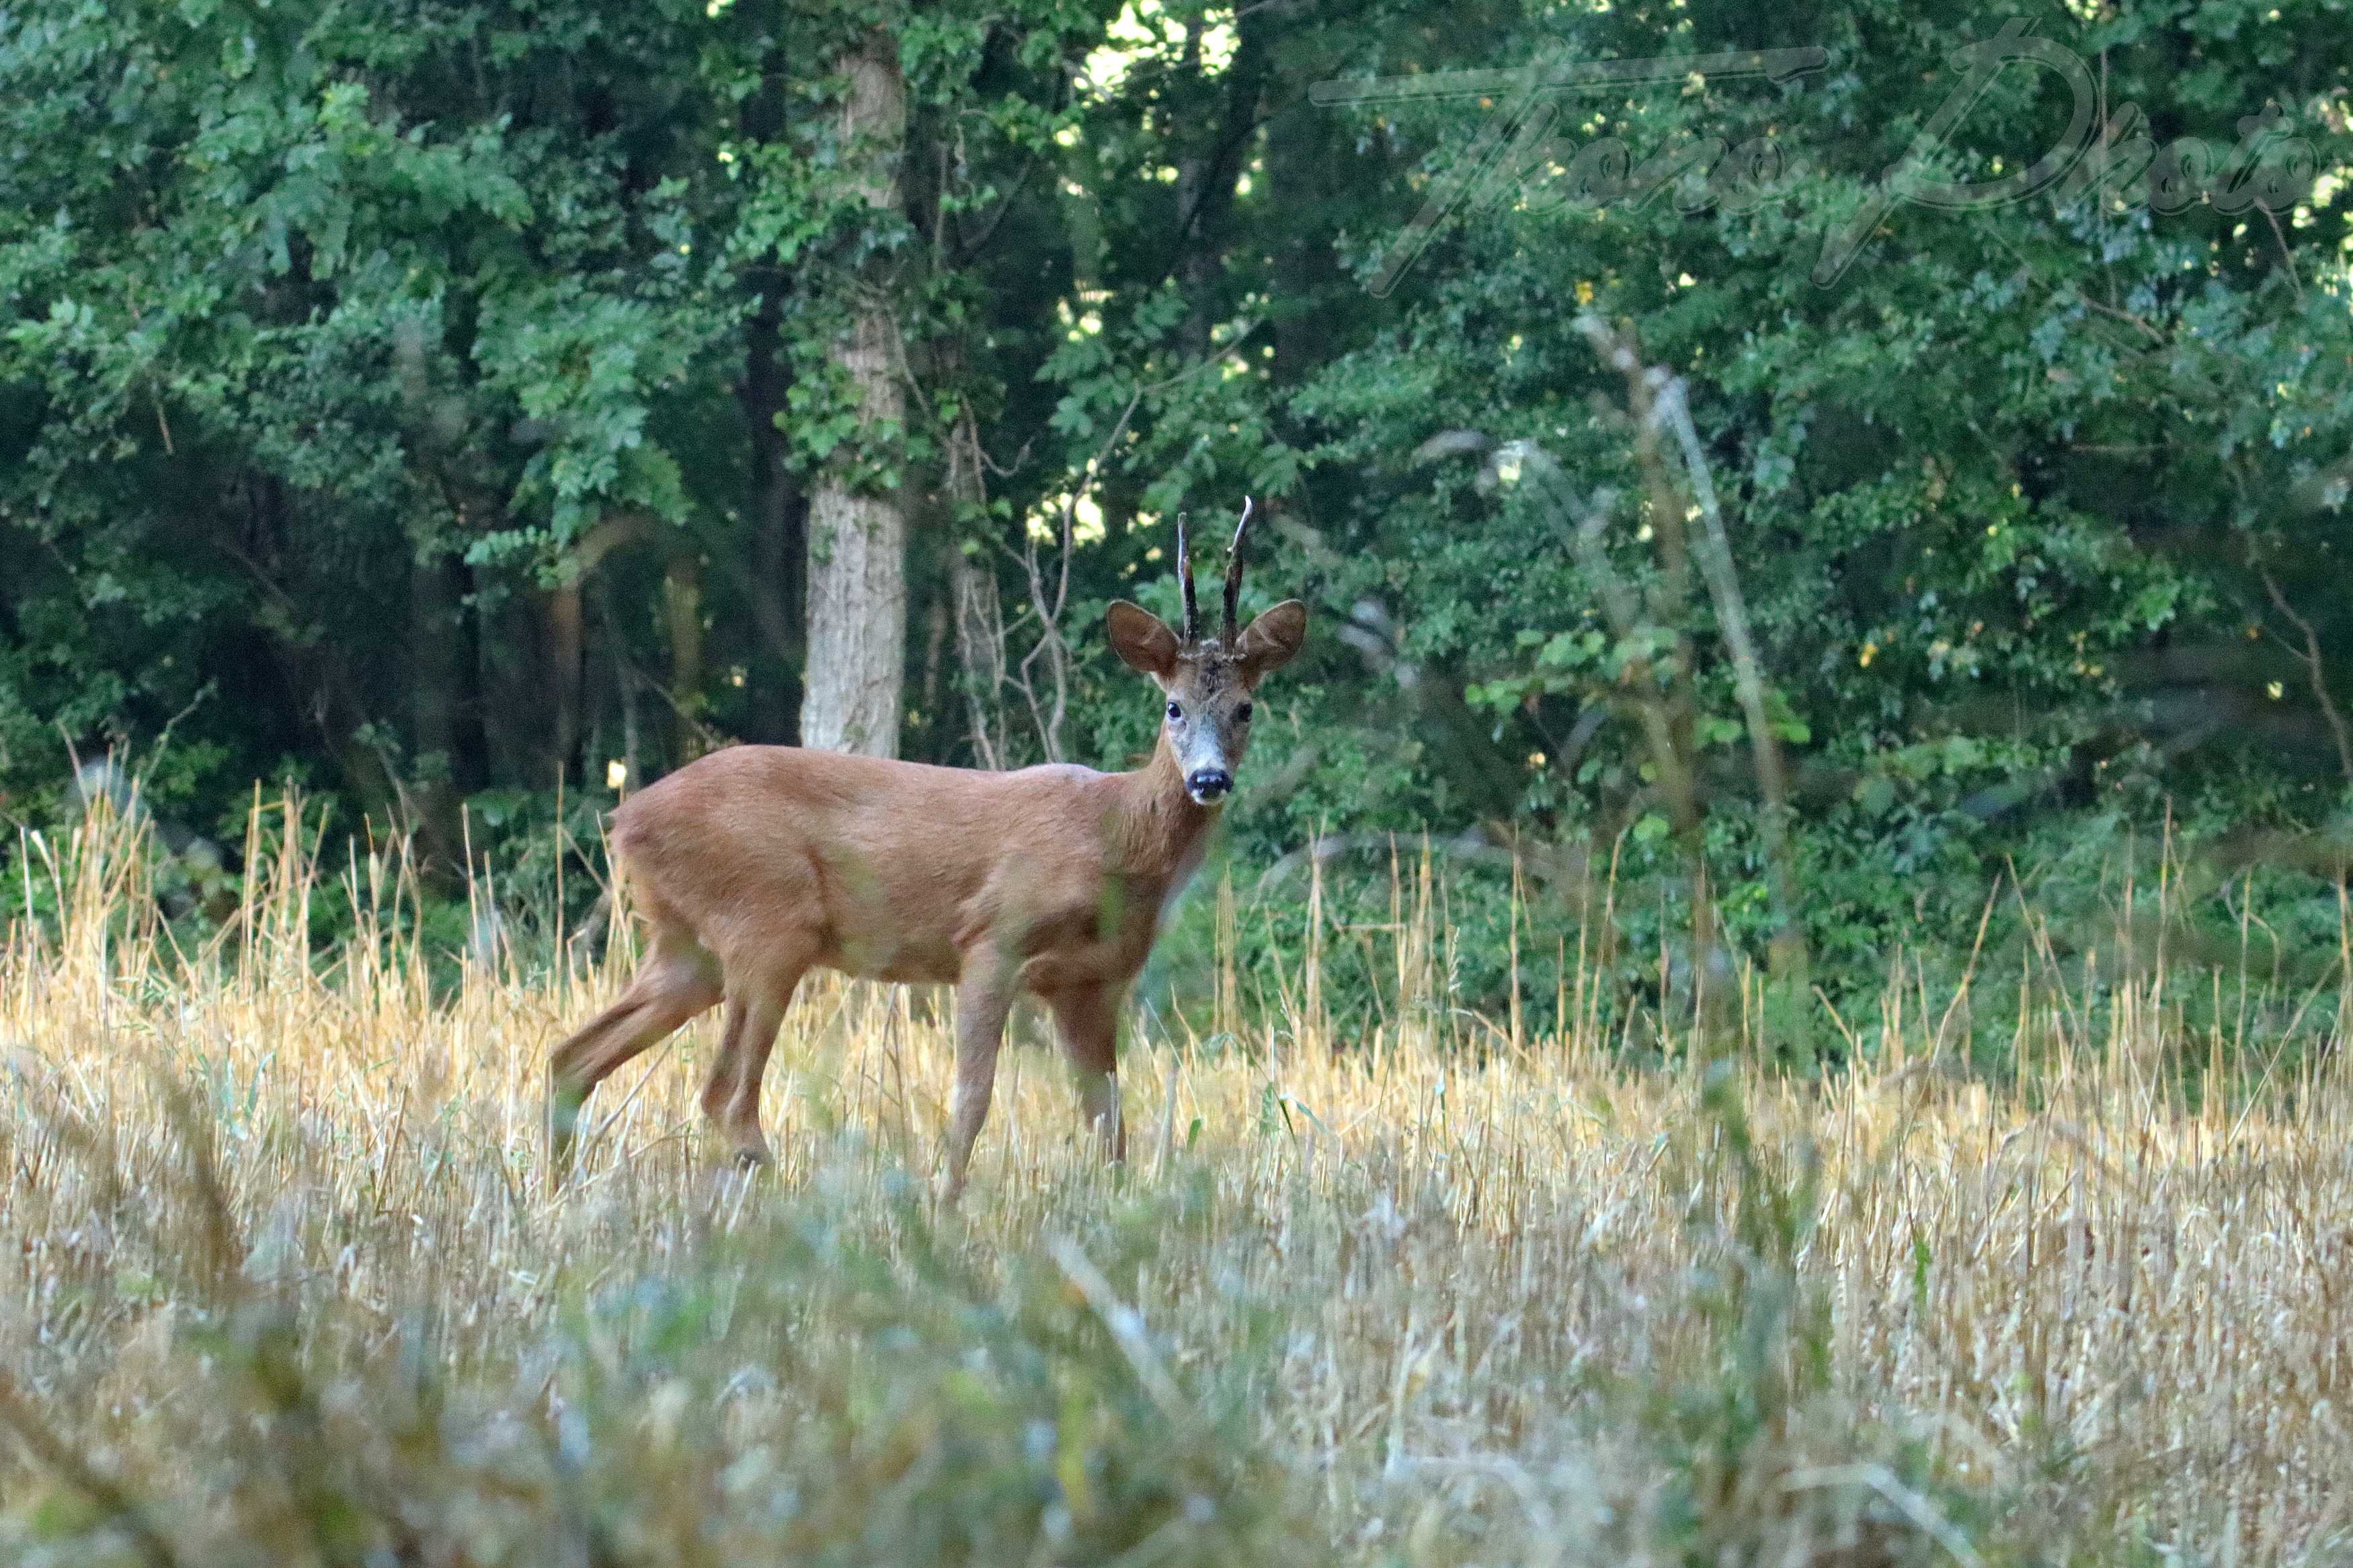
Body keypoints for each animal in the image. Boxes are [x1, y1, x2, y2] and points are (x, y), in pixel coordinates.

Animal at [557, 501, 1318, 1189]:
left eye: (1245, 707)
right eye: (1172, 706)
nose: (1209, 778)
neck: (1116, 835)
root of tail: (627, 818)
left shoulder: (1091, 984)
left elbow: (1110, 1127)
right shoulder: (990, 938)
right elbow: (971, 1103)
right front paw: (942, 1206)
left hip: (689, 947)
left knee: (574, 1057)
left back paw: (562, 1189)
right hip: (767, 922)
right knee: (725, 1097)